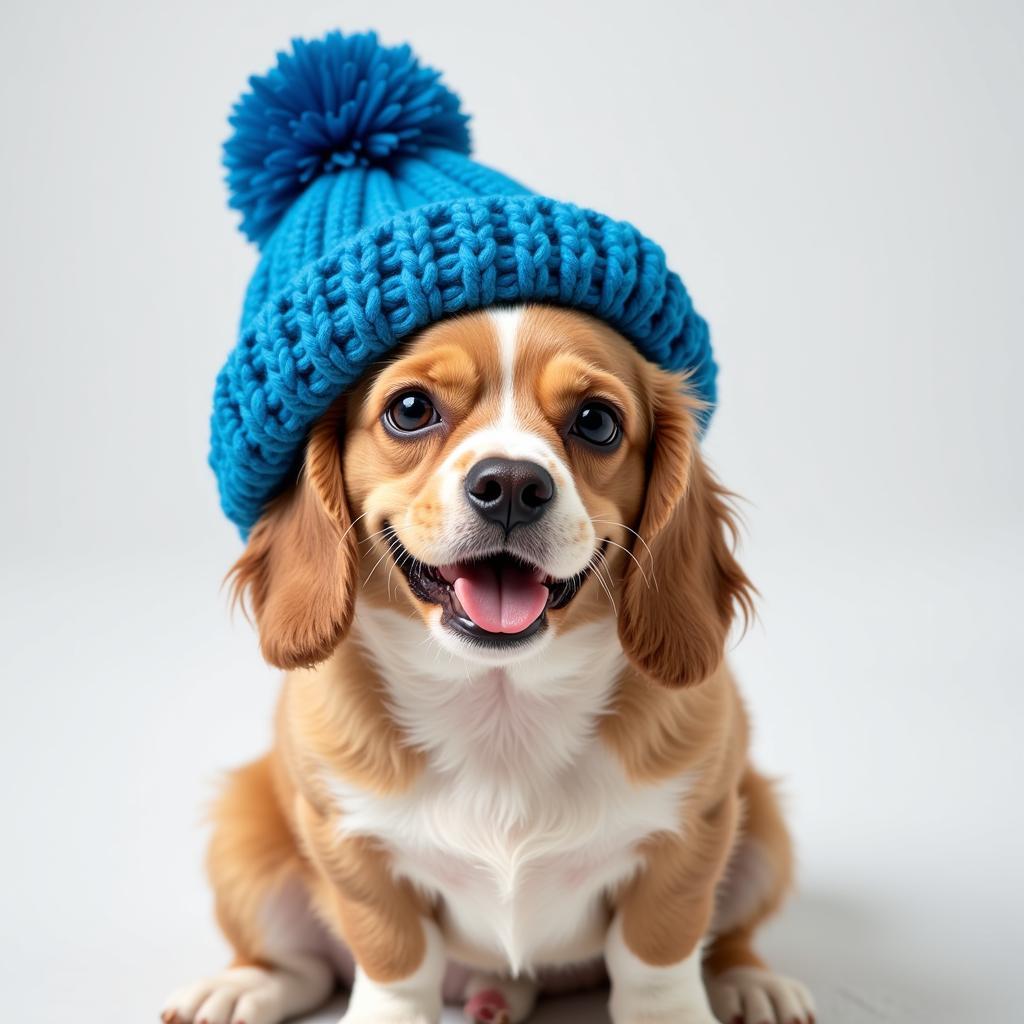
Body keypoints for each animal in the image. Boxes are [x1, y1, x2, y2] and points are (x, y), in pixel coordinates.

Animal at [163, 305, 811, 1024]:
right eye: (410, 409)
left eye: (597, 421)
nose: (510, 485)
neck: (500, 704)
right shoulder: (347, 841)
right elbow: (393, 956)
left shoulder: (696, 832)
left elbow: (656, 955)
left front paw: (671, 1014)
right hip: (243, 845)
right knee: (302, 964)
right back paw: (246, 986)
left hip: (765, 832)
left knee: (730, 937)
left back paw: (746, 982)